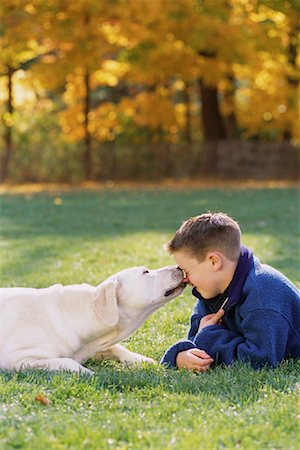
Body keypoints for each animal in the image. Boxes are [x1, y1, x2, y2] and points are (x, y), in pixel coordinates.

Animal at [0, 266, 185, 374]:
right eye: (145, 272)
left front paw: (139, 359)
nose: (178, 266)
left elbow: (117, 347)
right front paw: (87, 372)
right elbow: (67, 361)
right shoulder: (18, 359)